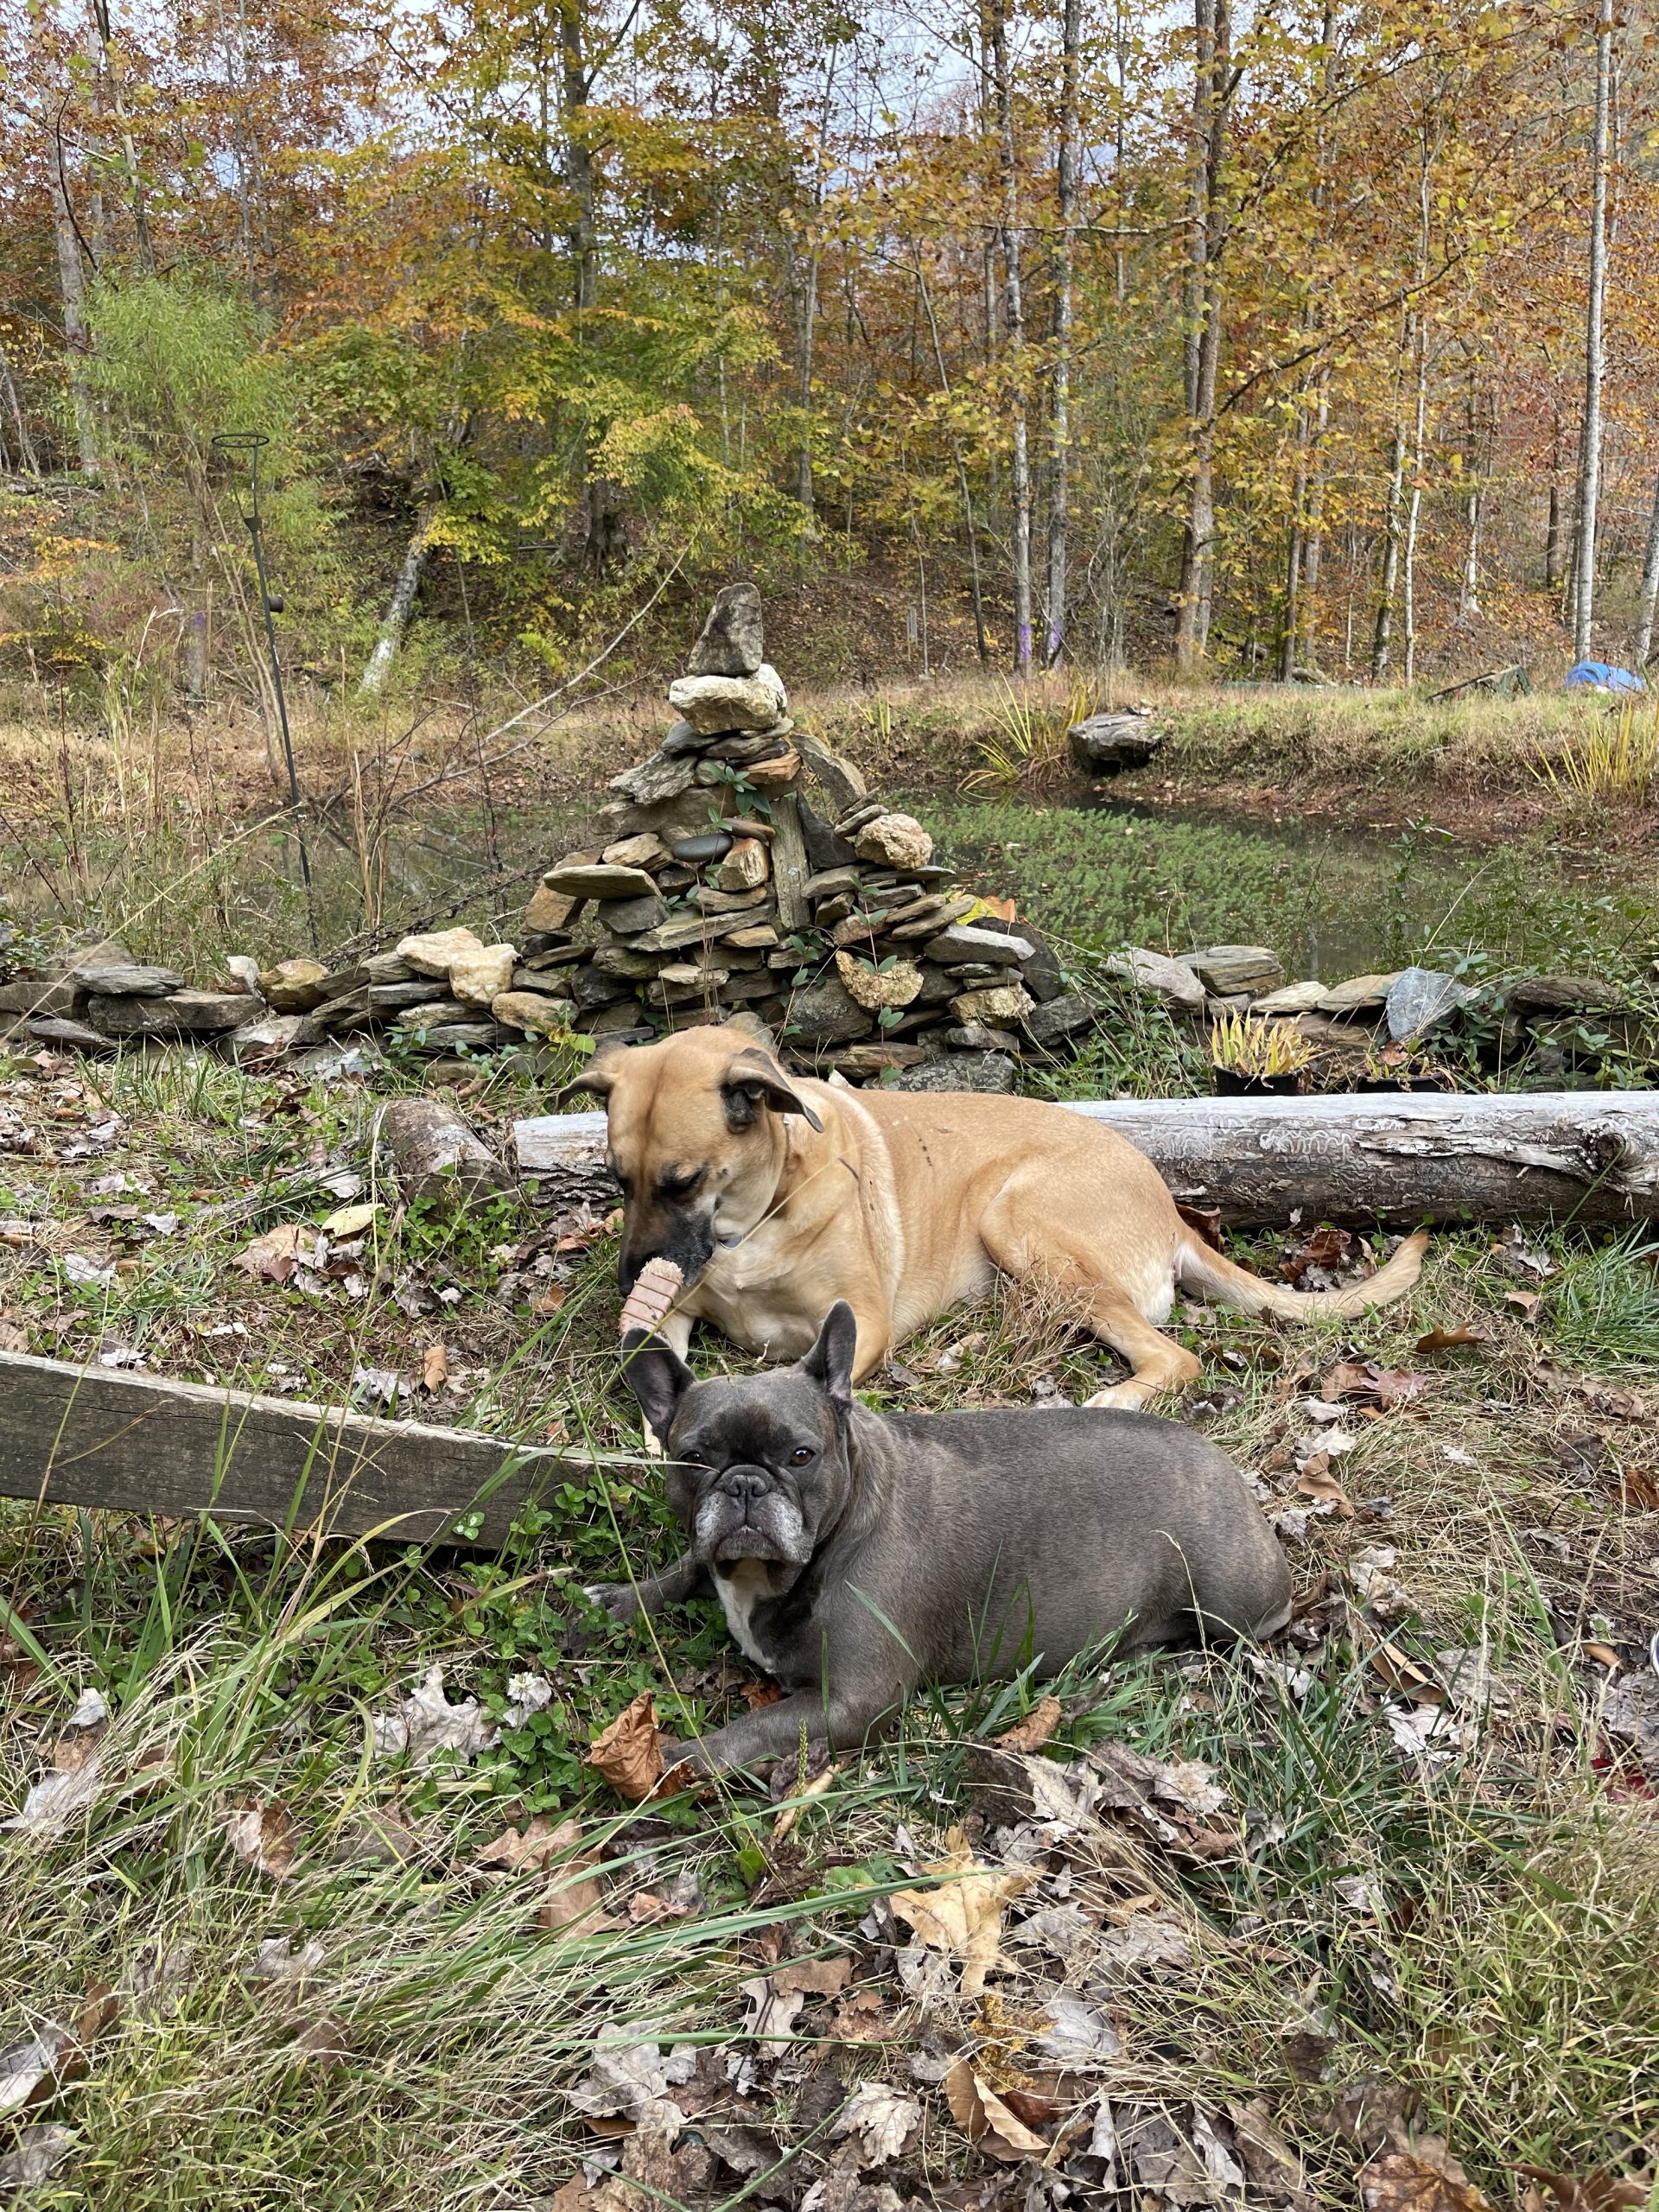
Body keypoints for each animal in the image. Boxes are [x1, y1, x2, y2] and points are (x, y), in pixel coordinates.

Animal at [564, 1024, 1426, 1410]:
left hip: (1017, 1219)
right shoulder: (677, 1312)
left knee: (1174, 1357)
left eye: (681, 1182)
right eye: (616, 1180)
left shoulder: (860, 1326)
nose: (628, 1281)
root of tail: (1170, 1210)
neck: (758, 1212)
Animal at [593, 1302, 1293, 1775]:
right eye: (692, 1458)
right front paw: (621, 1601)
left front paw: (672, 1760)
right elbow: (689, 1564)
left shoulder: (853, 1702)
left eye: (800, 1455)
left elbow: (751, 1729)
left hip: (1226, 1603)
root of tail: (1231, 1472)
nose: (743, 1484)